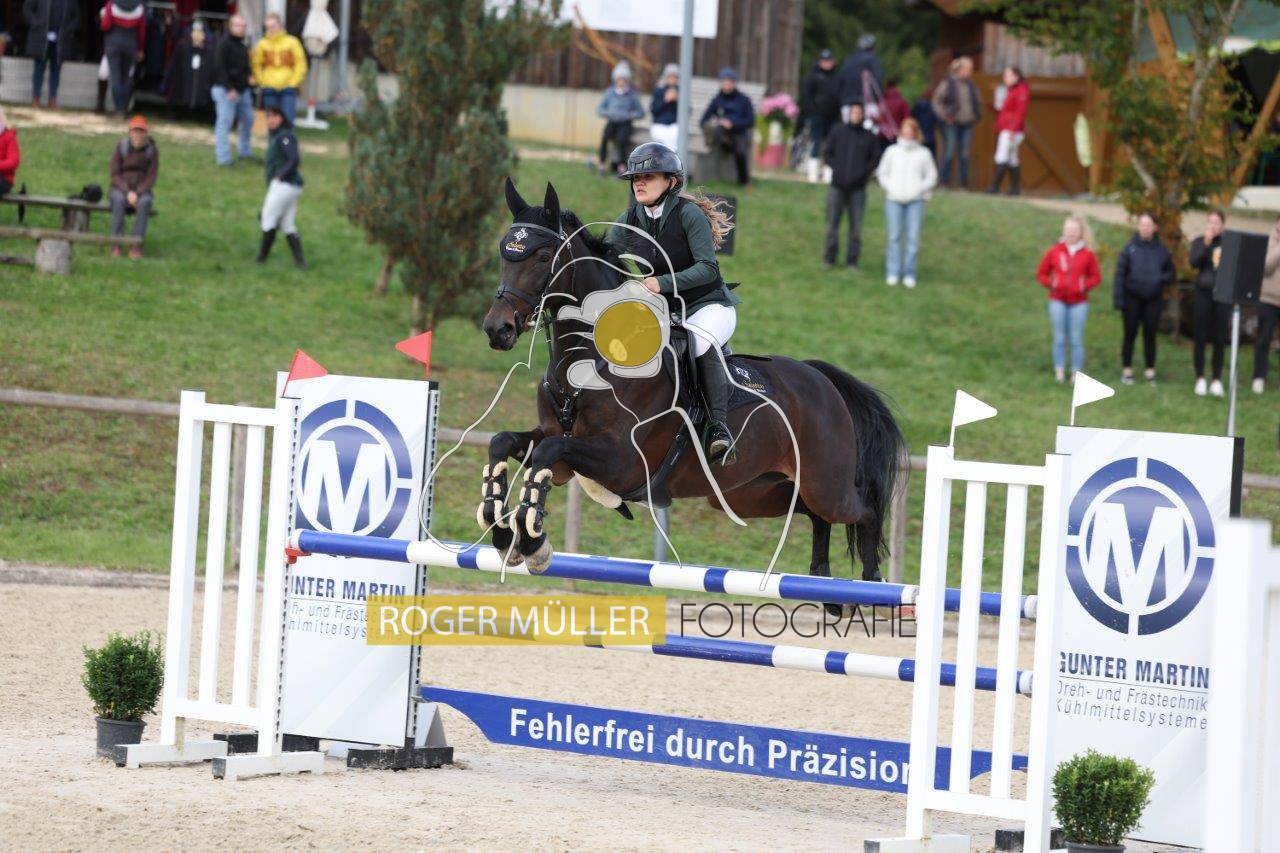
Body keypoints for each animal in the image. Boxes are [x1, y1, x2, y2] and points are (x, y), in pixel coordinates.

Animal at [477, 179, 906, 604]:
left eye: (543, 255)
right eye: (504, 251)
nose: (498, 329)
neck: (590, 361)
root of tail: (822, 379)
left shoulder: (622, 462)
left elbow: (547, 453)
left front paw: (531, 541)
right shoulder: (564, 451)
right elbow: (505, 443)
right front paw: (504, 533)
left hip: (825, 483)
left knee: (863, 511)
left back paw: (873, 585)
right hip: (751, 492)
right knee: (814, 514)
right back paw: (826, 585)